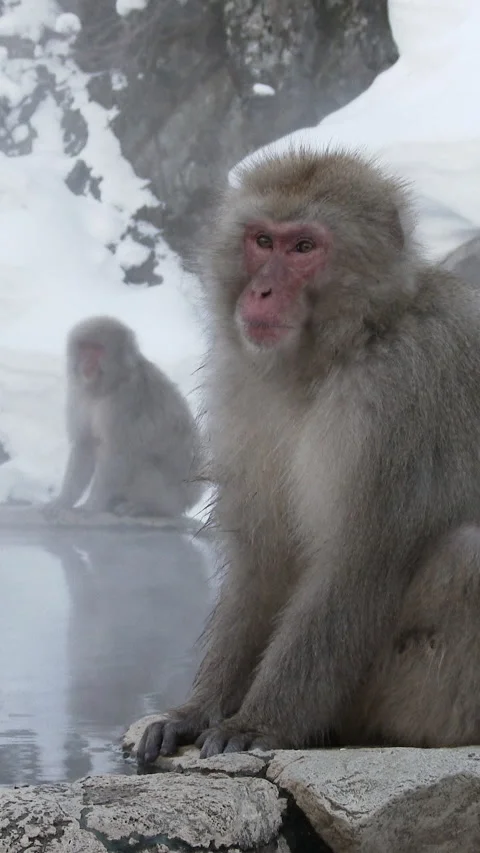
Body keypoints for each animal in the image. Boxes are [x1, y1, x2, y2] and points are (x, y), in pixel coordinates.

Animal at [44, 316, 203, 519]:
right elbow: (85, 444)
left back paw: (144, 507)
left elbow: (117, 453)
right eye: (84, 347)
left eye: (97, 349)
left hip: (172, 497)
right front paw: (63, 501)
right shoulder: (79, 395)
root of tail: (191, 500)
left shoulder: (126, 402)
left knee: (142, 465)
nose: (87, 360)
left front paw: (91, 506)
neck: (107, 386)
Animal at [137, 147, 480, 765]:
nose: (261, 293)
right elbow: (263, 558)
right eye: (262, 241)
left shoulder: (398, 395)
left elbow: (359, 561)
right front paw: (195, 712)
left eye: (302, 248)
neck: (343, 347)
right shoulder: (245, 389)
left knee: (468, 555)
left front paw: (260, 723)